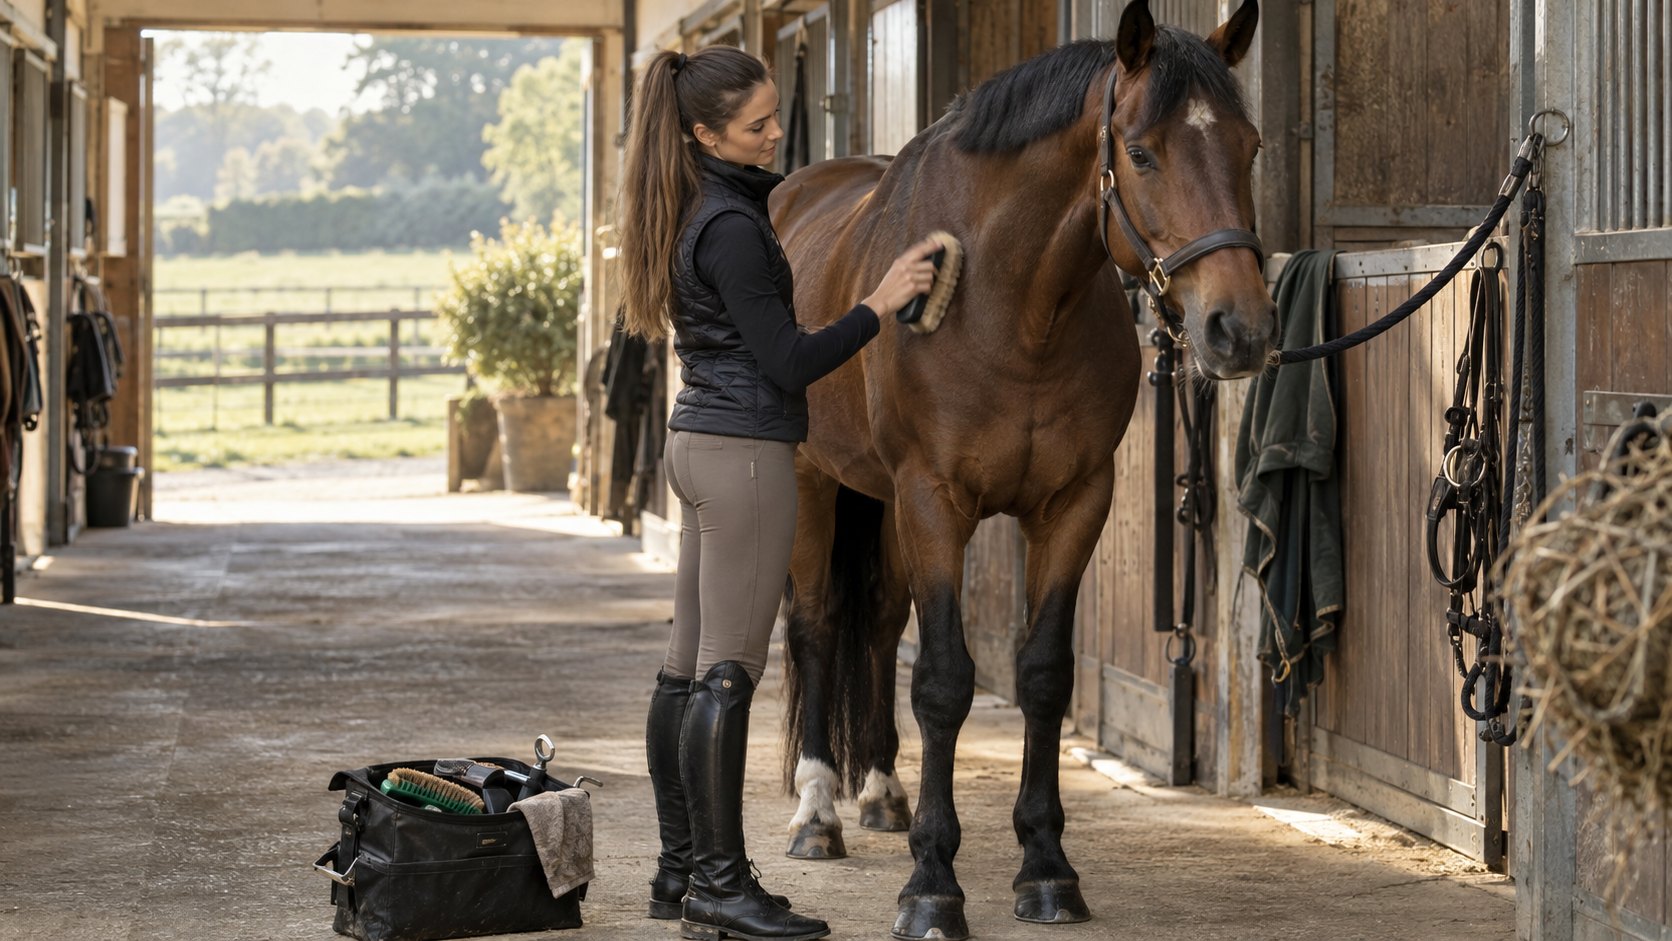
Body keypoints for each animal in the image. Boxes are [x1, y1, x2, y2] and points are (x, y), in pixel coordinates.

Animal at [766, 1, 1274, 937]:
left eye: (1250, 145)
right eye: (1140, 152)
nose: (1240, 328)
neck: (1009, 303)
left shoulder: (1075, 503)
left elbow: (1042, 675)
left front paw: (1046, 869)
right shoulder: (935, 500)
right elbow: (942, 681)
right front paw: (932, 884)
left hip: (878, 500)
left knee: (878, 623)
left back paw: (880, 793)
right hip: (816, 483)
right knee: (817, 624)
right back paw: (817, 812)